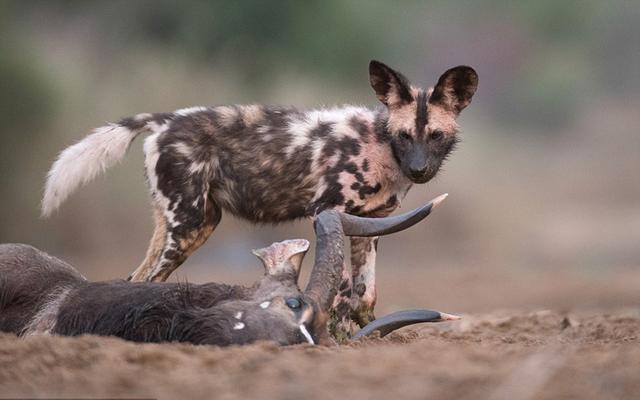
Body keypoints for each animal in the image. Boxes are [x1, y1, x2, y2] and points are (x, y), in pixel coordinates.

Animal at [41, 60, 476, 334]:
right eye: (403, 135)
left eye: (435, 135)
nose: (419, 170)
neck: (381, 147)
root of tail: (166, 120)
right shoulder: (330, 211)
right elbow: (339, 293)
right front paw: (333, 340)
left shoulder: (371, 225)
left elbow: (364, 296)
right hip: (186, 227)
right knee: (145, 279)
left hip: (193, 224)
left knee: (136, 279)